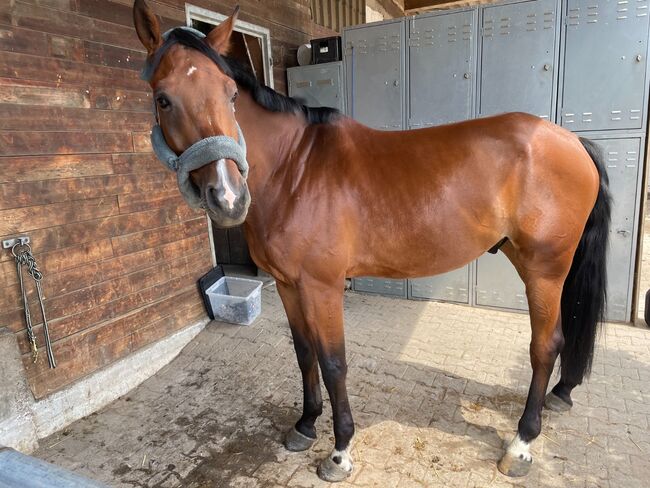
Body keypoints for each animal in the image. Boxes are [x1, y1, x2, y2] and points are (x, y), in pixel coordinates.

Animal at [134, 0, 612, 480]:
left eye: (231, 95)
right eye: (163, 99)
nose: (229, 197)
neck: (294, 169)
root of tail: (573, 140)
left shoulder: (322, 287)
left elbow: (333, 363)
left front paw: (340, 450)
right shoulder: (287, 285)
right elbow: (304, 352)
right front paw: (305, 424)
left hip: (544, 270)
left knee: (545, 346)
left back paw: (521, 443)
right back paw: (559, 395)